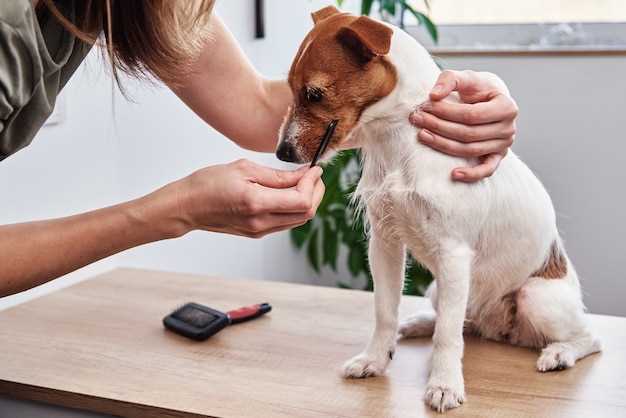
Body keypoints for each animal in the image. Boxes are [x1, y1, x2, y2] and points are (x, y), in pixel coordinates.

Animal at [274, 5, 600, 412]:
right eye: (289, 88)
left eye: (314, 93)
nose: (282, 152)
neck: (396, 140)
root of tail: (500, 329)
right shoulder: (384, 243)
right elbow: (385, 310)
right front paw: (375, 359)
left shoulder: (453, 254)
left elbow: (447, 336)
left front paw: (444, 385)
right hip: (439, 289)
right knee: (456, 318)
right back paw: (418, 324)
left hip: (536, 298)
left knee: (589, 336)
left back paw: (559, 353)